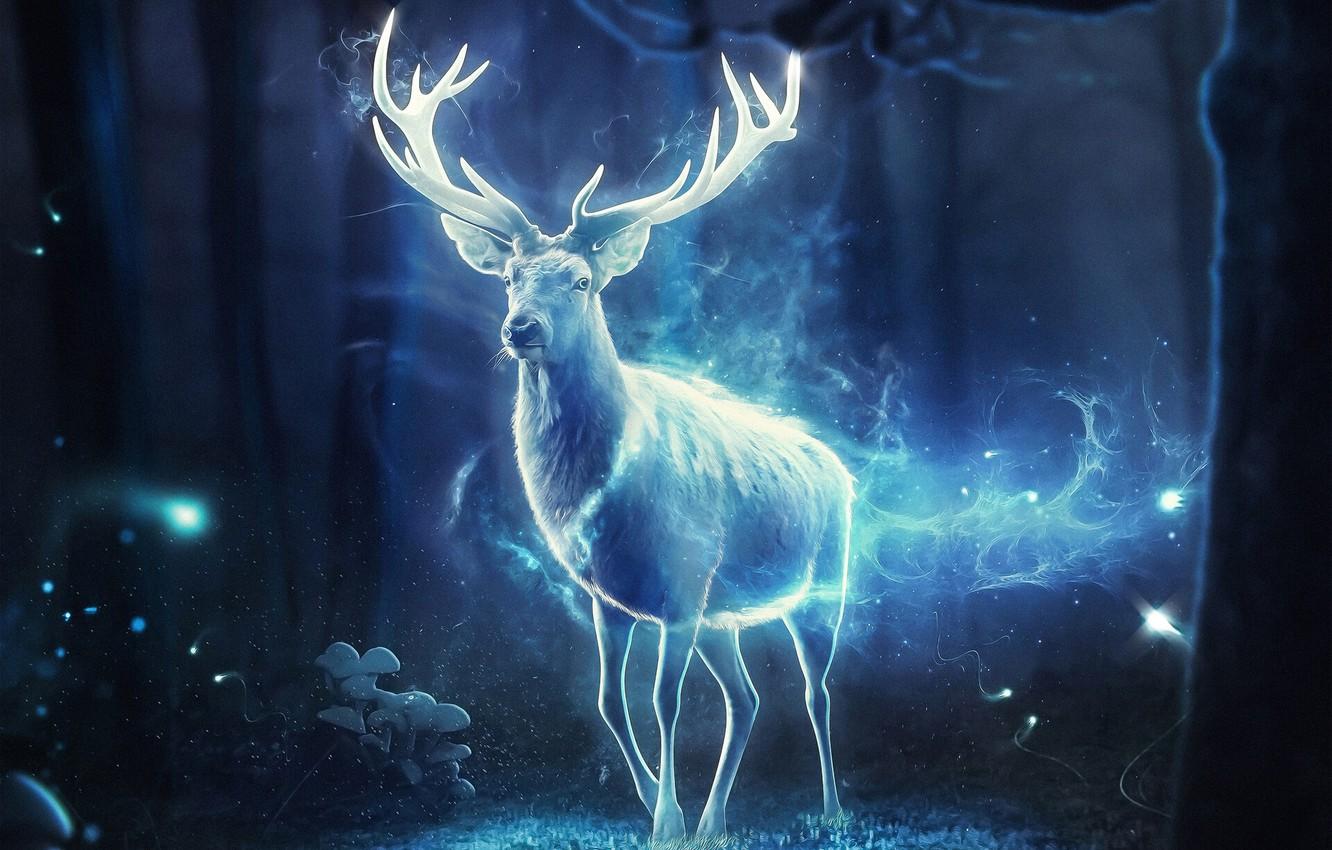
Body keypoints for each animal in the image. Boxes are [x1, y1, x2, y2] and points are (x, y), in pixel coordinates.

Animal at [370, 10, 853, 841]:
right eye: (509, 276)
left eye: (581, 281)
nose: (521, 328)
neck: (601, 499)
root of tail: (844, 470)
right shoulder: (608, 596)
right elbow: (608, 701)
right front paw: (659, 811)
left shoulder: (681, 581)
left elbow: (663, 702)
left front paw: (665, 821)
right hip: (725, 612)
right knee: (749, 698)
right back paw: (716, 822)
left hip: (823, 583)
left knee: (816, 692)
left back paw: (827, 810)